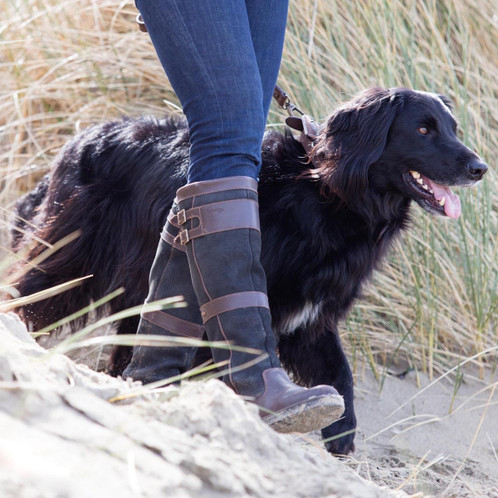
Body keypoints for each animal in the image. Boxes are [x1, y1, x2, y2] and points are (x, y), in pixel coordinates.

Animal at [10, 87, 486, 454]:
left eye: (453, 128)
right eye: (423, 129)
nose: (480, 168)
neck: (328, 194)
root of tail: (81, 138)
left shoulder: (311, 319)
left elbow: (341, 373)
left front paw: (340, 435)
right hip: (68, 259)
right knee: (30, 294)